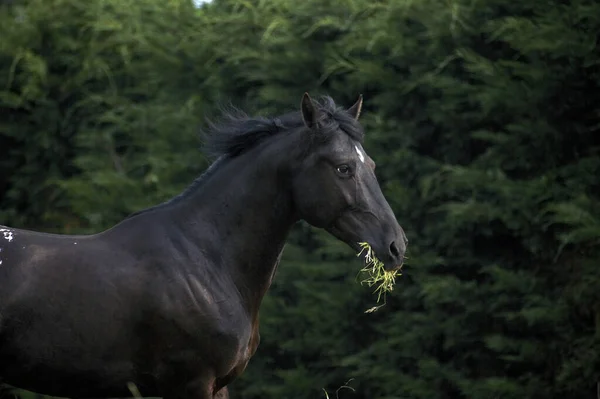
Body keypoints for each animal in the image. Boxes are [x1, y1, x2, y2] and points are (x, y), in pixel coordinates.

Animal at [0, 92, 408, 398]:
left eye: (370, 164)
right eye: (343, 168)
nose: (396, 246)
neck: (205, 261)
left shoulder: (217, 386)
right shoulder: (191, 384)